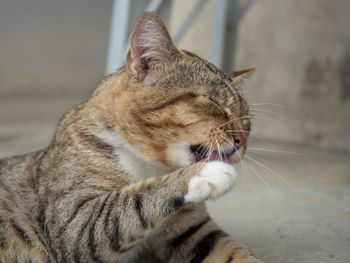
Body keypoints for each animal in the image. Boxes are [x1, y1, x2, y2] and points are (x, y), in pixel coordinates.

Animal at [0, 11, 262, 262]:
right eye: (213, 102)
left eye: (247, 121)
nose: (241, 140)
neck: (152, 165)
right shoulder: (74, 222)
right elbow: (131, 201)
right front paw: (205, 173)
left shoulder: (194, 232)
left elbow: (232, 252)